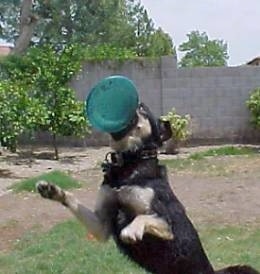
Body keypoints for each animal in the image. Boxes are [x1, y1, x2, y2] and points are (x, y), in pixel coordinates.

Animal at [37, 103, 260, 274]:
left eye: (141, 109)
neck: (128, 165)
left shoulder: (166, 225)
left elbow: (142, 217)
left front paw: (130, 231)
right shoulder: (102, 225)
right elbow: (73, 199)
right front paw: (52, 190)